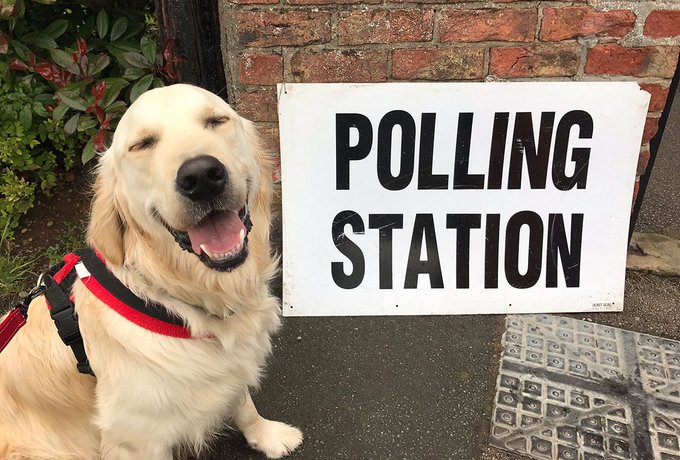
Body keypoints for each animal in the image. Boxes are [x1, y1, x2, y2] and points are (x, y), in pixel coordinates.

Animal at [0, 84, 302, 458]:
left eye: (217, 120)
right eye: (142, 144)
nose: (201, 176)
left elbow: (243, 402)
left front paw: (267, 435)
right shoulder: (136, 439)